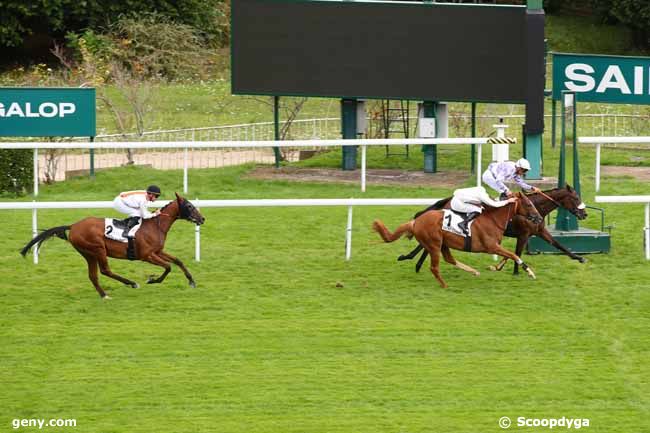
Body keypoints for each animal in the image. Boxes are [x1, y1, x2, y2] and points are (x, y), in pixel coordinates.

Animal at [20, 192, 204, 296]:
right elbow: (168, 267)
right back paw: (131, 283)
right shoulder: (147, 255)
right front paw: (152, 280)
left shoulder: (158, 252)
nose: (202, 218)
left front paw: (191, 281)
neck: (155, 225)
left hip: (88, 254)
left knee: (93, 275)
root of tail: (73, 226)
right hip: (98, 249)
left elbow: (178, 261)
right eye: (189, 206)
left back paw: (104, 295)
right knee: (105, 270)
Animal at [370, 192, 540, 286]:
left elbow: (511, 255)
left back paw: (473, 272)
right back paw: (444, 284)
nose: (538, 218)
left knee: (449, 259)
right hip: (435, 244)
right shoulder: (491, 246)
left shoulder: (496, 246)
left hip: (442, 243)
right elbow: (513, 254)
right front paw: (530, 272)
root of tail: (415, 222)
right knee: (435, 266)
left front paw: (497, 267)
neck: (493, 219)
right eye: (529, 204)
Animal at [398, 185, 584, 274]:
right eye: (575, 198)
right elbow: (517, 253)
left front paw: (578, 258)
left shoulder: (539, 232)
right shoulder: (523, 235)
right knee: (425, 245)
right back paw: (410, 259)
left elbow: (558, 244)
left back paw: (415, 262)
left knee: (428, 246)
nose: (585, 213)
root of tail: (447, 200)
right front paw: (515, 271)